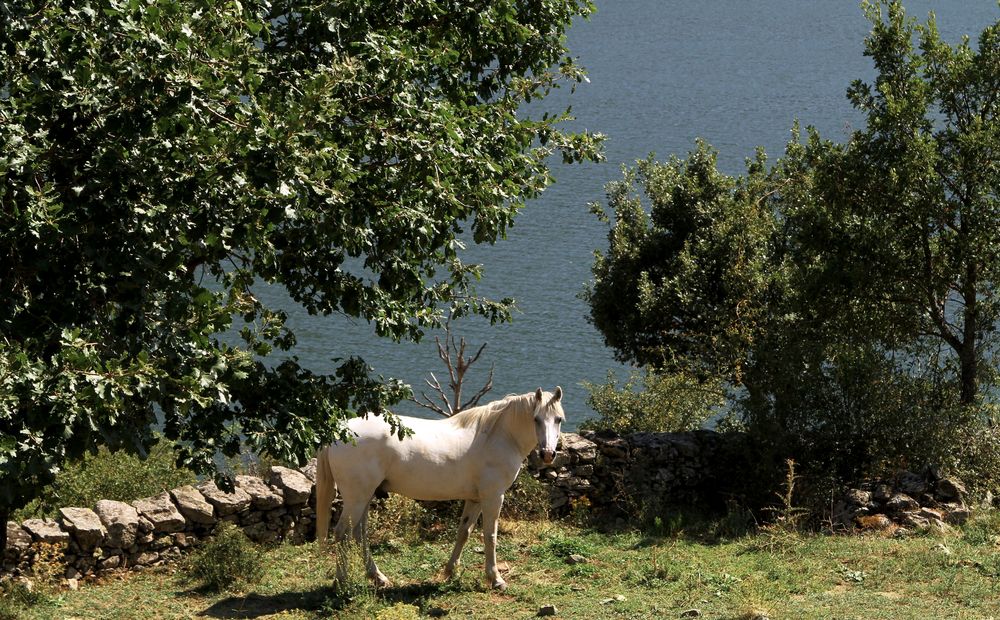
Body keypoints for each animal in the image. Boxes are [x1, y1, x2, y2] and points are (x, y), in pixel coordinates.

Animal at [314, 388, 564, 592]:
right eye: (536, 418)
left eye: (559, 419)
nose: (548, 454)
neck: (497, 436)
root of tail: (340, 431)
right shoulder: (493, 497)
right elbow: (490, 536)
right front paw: (495, 579)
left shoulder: (475, 499)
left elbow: (464, 532)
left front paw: (450, 571)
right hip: (356, 498)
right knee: (342, 534)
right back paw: (341, 583)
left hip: (364, 497)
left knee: (359, 534)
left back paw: (378, 577)